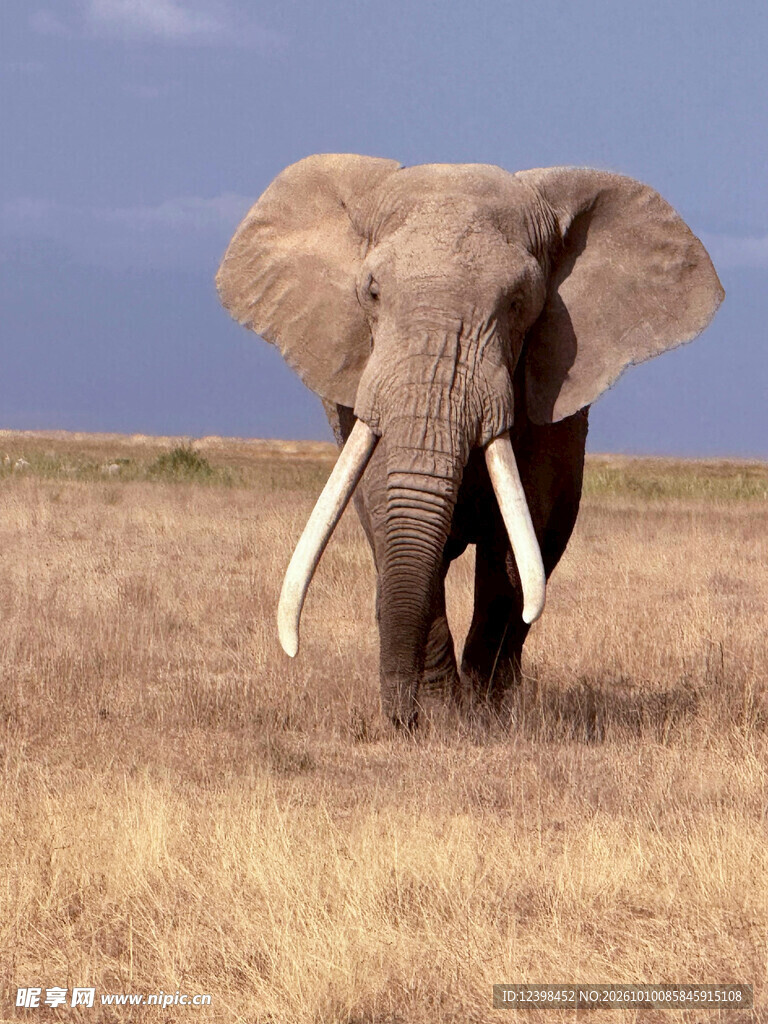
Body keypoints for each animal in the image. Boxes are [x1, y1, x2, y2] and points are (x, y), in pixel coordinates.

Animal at [216, 154, 723, 728]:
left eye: (519, 302)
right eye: (372, 292)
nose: (399, 717)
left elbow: (517, 547)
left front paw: (483, 719)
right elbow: (393, 517)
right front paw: (439, 718)